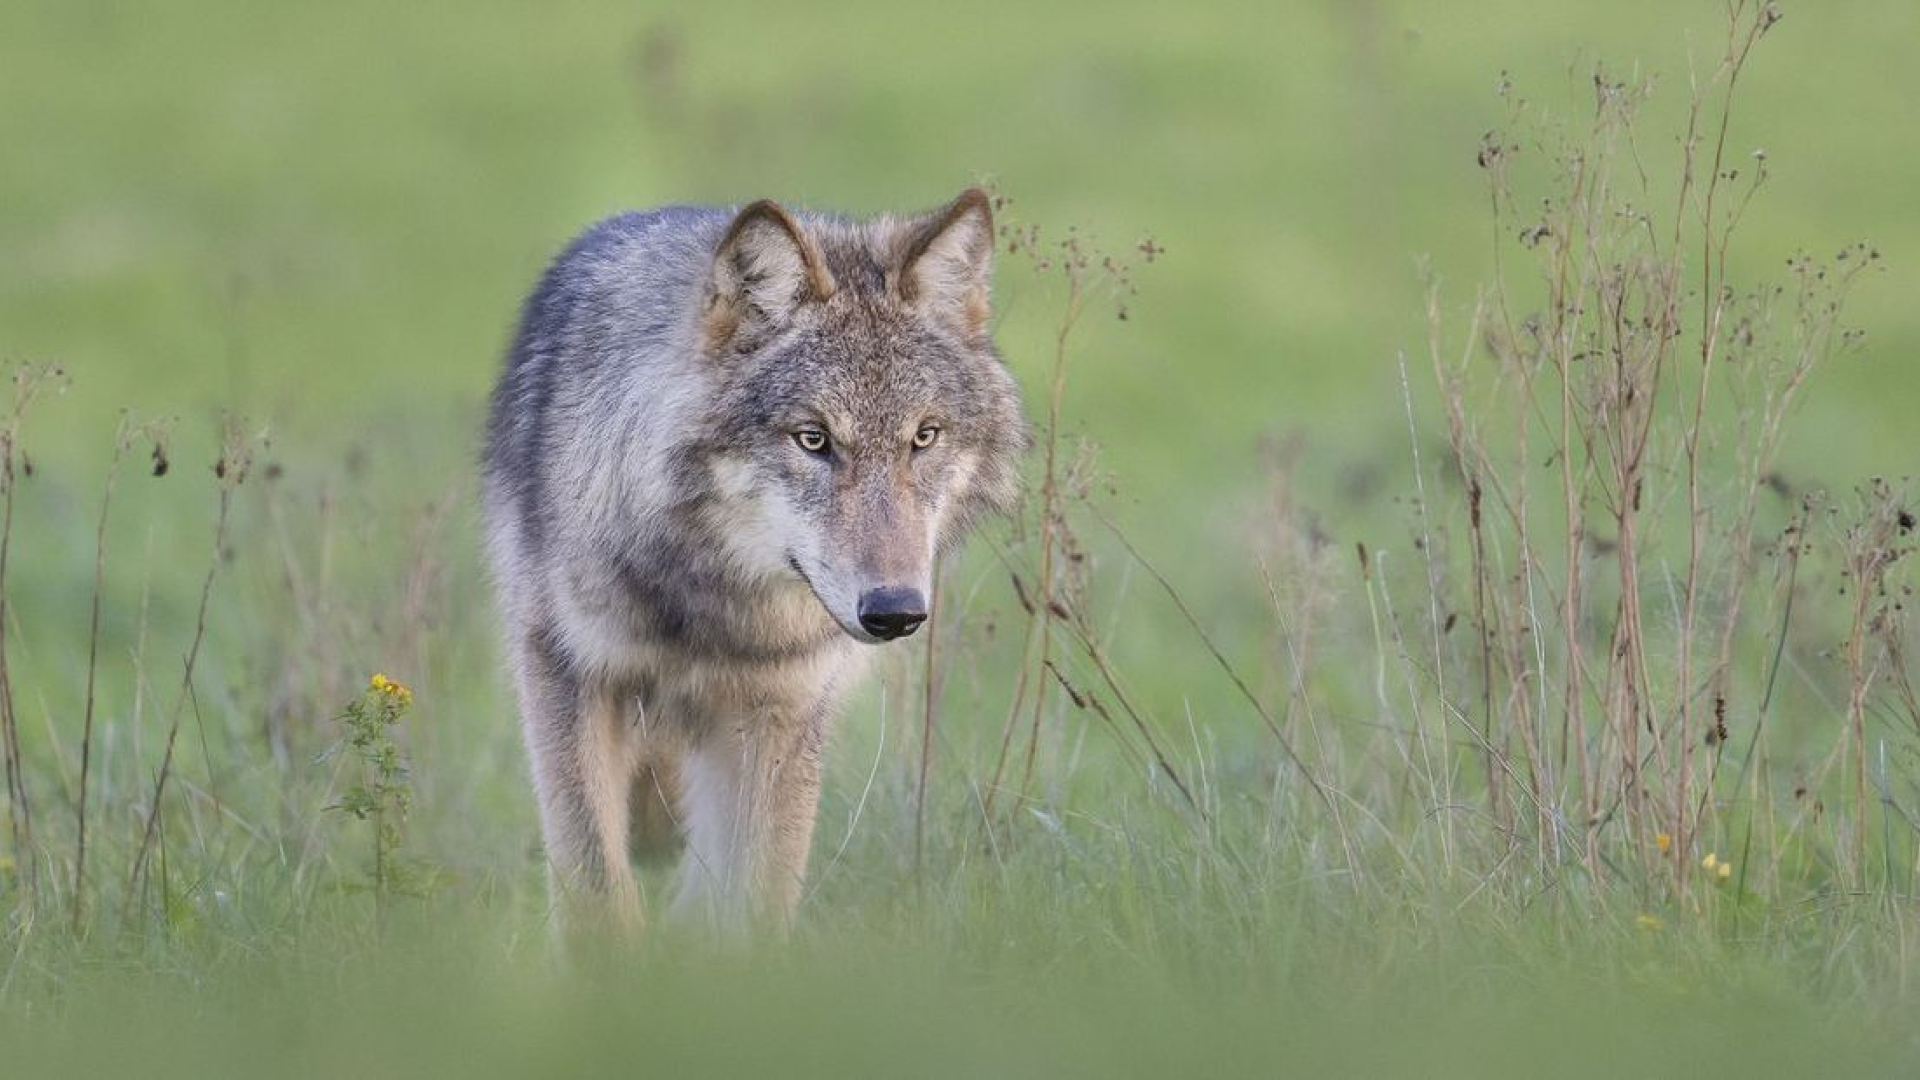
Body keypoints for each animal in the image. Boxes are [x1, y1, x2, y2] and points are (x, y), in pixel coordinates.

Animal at [482, 188, 1028, 933]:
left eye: (924, 437)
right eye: (813, 439)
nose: (894, 611)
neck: (718, 604)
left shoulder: (782, 713)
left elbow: (755, 910)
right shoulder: (566, 672)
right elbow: (598, 894)